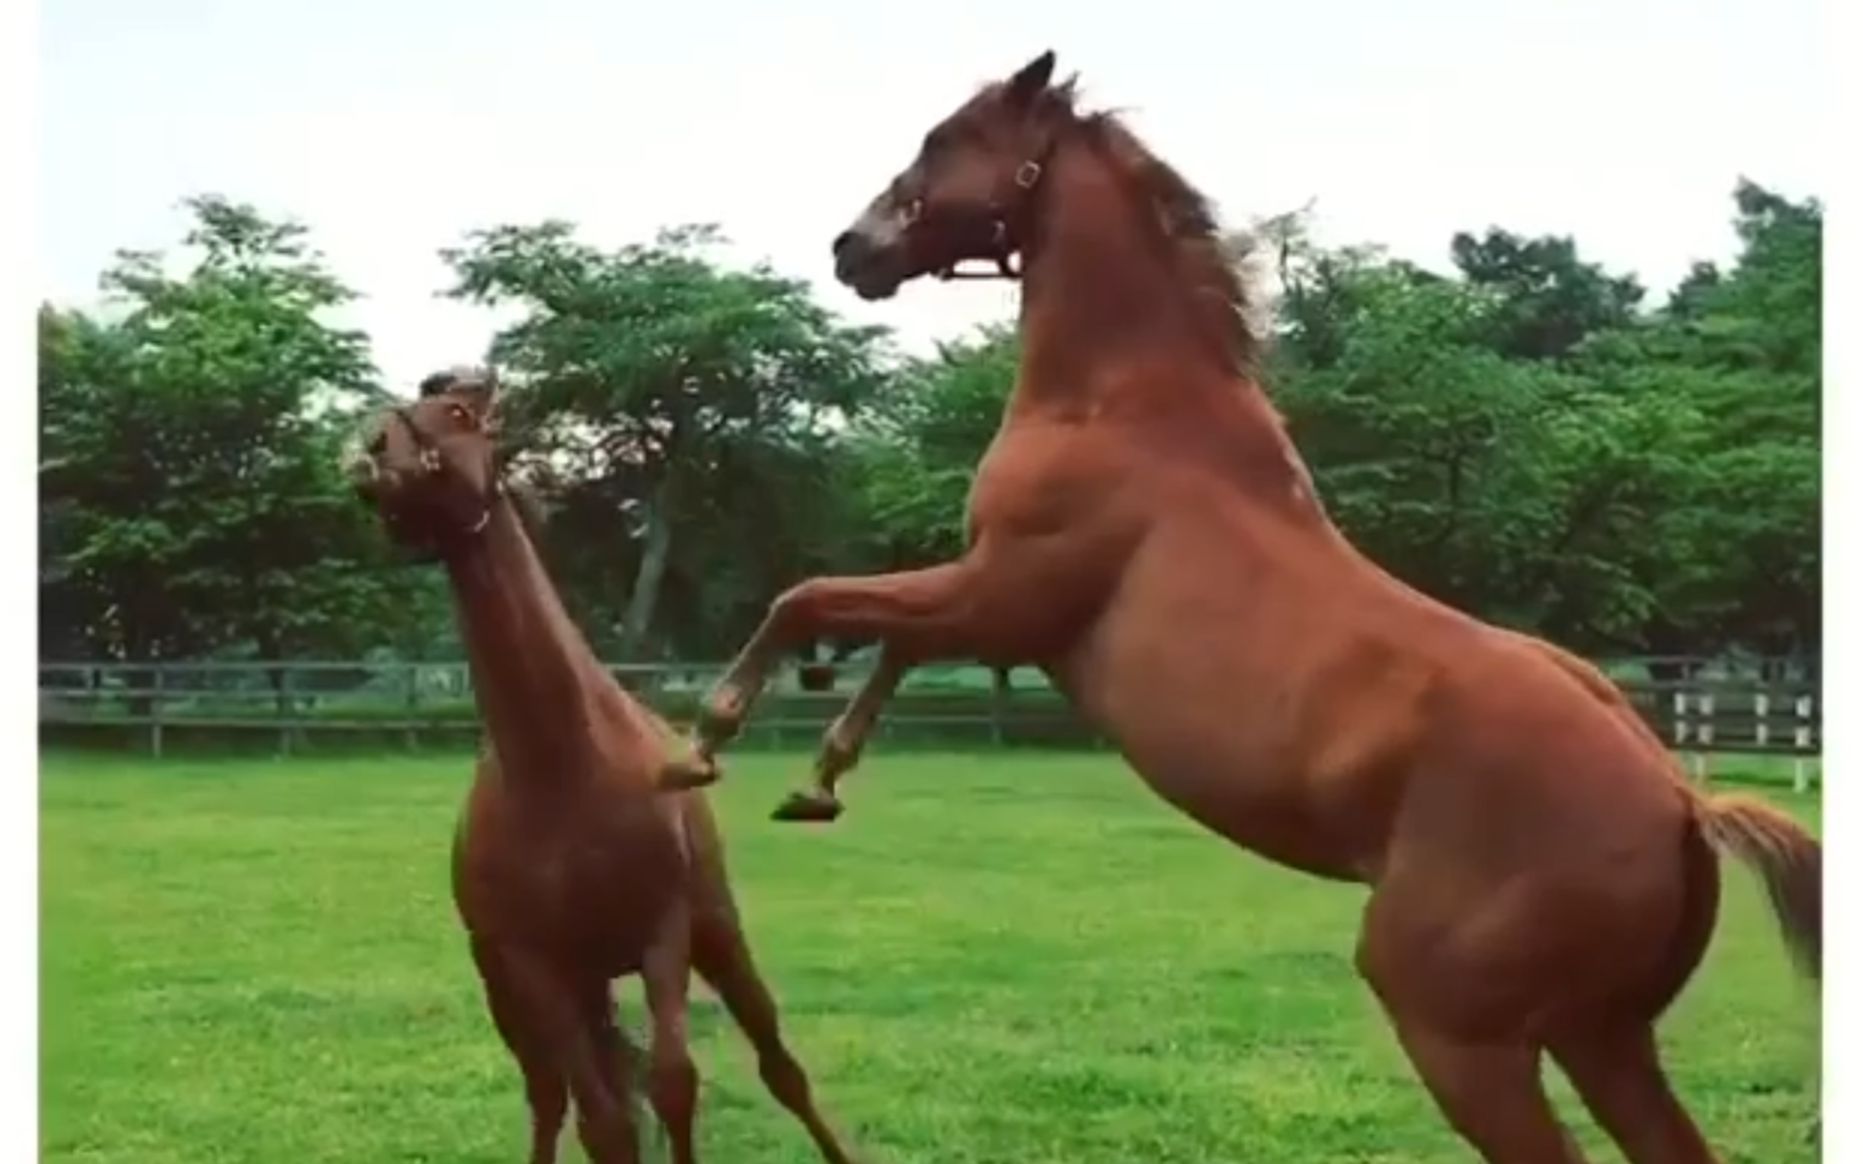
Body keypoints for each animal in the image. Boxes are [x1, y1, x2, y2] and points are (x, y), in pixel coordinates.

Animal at [346, 365, 853, 1162]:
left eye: (457, 413)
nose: (368, 451)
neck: (563, 768)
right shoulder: (535, 967)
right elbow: (604, 1121)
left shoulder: (663, 930)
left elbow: (675, 1084)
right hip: (517, 988)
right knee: (551, 1096)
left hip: (716, 931)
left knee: (779, 1065)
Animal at [689, 52, 1818, 1162]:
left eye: (946, 139)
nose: (852, 248)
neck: (1123, 403)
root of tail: (1681, 804)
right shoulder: (987, 604)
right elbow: (881, 642)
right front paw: (817, 781)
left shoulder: (1005, 598)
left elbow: (815, 603)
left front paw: (712, 736)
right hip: (1604, 1038)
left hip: (1463, 1033)